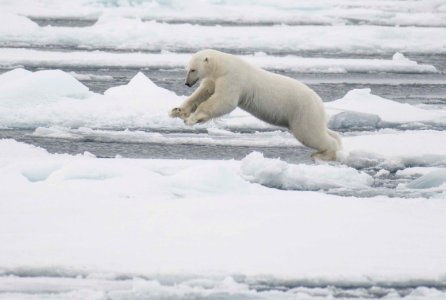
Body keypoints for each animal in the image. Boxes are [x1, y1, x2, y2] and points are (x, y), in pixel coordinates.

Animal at [170, 49, 342, 162]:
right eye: (187, 69)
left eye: (193, 69)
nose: (187, 83)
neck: (222, 66)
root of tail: (319, 102)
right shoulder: (214, 79)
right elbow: (202, 93)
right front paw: (177, 111)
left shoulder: (232, 78)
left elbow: (224, 101)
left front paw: (193, 118)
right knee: (322, 130)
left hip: (302, 111)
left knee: (310, 134)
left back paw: (322, 154)